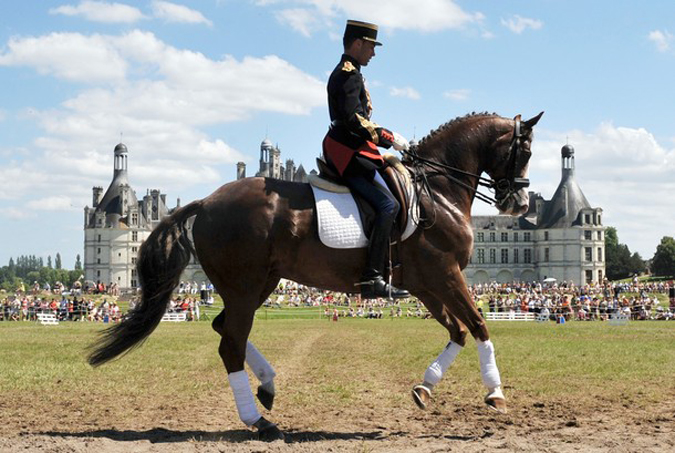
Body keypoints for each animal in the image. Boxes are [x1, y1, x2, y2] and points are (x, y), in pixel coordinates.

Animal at [90, 111, 544, 440]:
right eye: (523, 150)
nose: (520, 204)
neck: (437, 192)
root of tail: (207, 201)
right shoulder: (445, 275)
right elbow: (480, 325)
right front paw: (496, 394)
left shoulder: (427, 283)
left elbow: (459, 331)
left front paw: (425, 388)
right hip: (245, 286)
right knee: (230, 343)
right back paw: (260, 421)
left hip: (258, 284)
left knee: (224, 330)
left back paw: (268, 387)